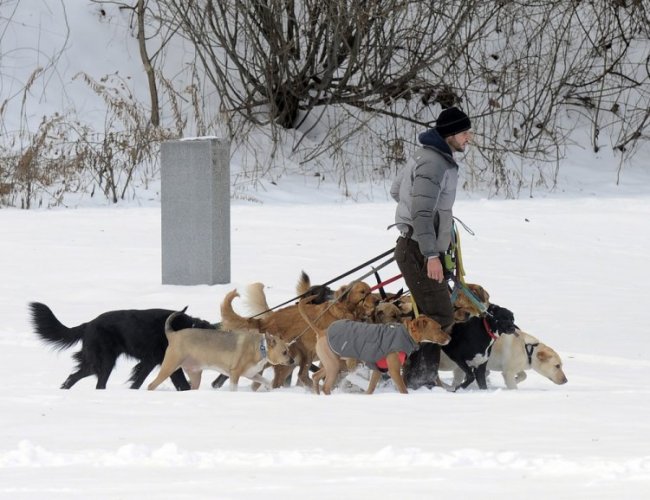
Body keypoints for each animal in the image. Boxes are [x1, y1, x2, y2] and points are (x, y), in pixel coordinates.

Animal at [29, 300, 215, 390]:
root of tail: (88, 324)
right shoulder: (165, 363)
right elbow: (182, 385)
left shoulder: (152, 362)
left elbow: (138, 381)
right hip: (104, 361)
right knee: (97, 383)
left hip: (95, 363)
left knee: (72, 377)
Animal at [148, 306, 292, 392]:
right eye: (284, 352)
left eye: (288, 350)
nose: (292, 361)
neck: (261, 348)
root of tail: (173, 334)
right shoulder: (235, 373)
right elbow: (233, 388)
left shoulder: (251, 374)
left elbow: (266, 380)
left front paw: (269, 388)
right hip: (170, 366)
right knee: (151, 385)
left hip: (195, 374)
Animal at [298, 296, 450, 394]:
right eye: (439, 328)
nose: (450, 338)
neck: (405, 333)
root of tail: (322, 332)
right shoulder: (394, 370)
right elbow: (403, 389)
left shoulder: (378, 370)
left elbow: (370, 388)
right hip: (334, 365)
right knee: (326, 386)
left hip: (335, 364)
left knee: (316, 376)